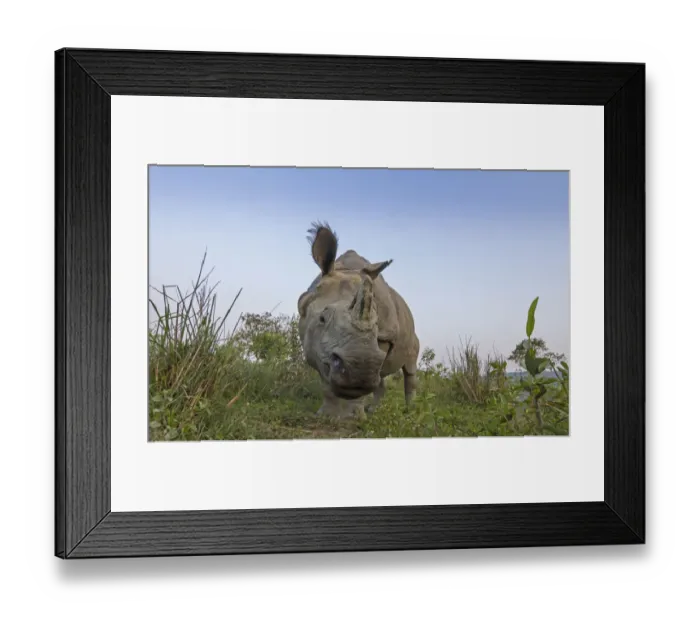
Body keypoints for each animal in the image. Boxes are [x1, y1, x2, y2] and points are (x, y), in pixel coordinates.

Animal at [297, 222, 420, 419]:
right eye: (322, 318)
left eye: (377, 324)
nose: (360, 367)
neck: (345, 270)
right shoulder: (313, 340)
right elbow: (326, 376)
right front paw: (327, 416)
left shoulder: (384, 337)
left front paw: (352, 418)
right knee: (381, 377)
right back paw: (373, 410)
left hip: (413, 339)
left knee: (409, 369)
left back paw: (410, 412)